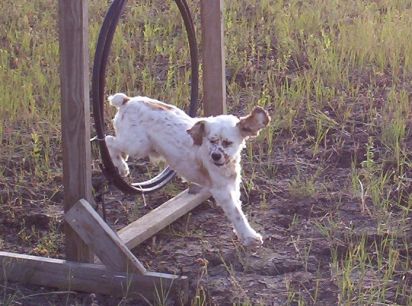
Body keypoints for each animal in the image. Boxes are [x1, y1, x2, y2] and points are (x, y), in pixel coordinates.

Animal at [106, 92, 270, 246]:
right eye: (211, 140)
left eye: (228, 143)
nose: (215, 156)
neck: (225, 164)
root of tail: (127, 100)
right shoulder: (221, 190)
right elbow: (236, 213)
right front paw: (250, 237)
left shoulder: (232, 186)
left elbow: (237, 209)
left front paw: (243, 235)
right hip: (137, 146)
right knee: (109, 141)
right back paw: (121, 166)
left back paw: (122, 161)